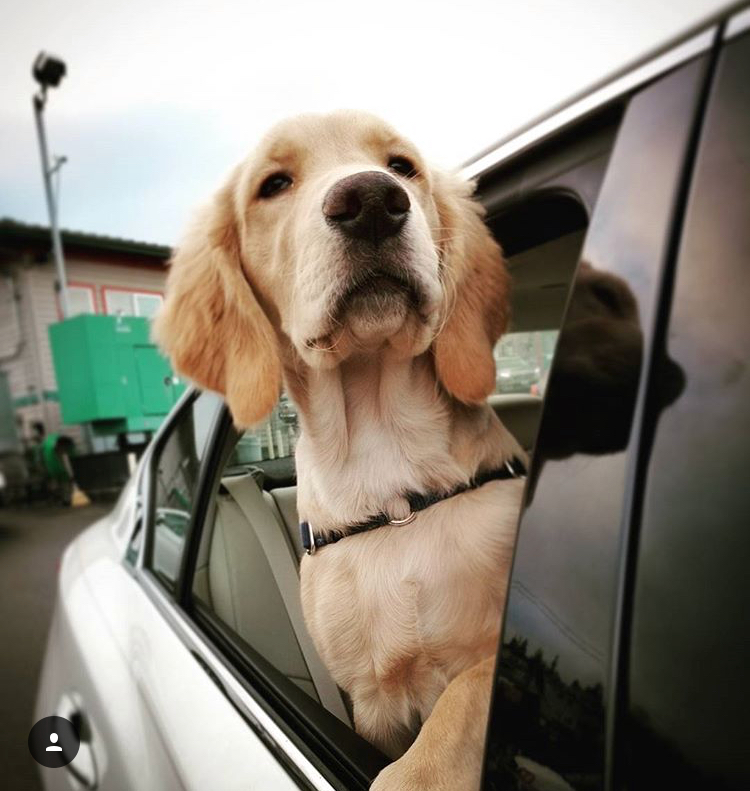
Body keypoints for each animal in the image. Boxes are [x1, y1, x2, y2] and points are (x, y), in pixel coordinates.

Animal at [156, 111, 524, 791]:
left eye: (402, 166)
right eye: (273, 184)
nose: (373, 201)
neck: (389, 464)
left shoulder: (493, 656)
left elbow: (456, 709)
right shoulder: (372, 703)